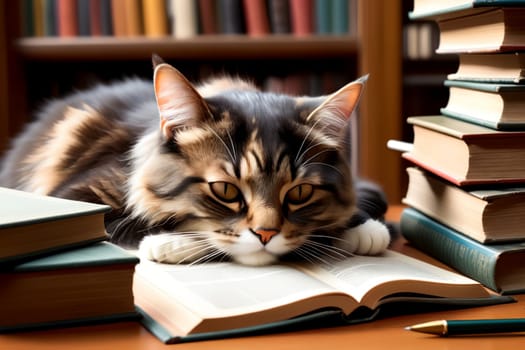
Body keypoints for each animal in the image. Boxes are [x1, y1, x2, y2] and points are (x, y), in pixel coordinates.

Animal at [0, 58, 388, 266]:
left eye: (300, 193)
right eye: (225, 191)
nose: (266, 234)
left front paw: (362, 230)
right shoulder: (77, 195)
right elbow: (121, 223)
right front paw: (170, 243)